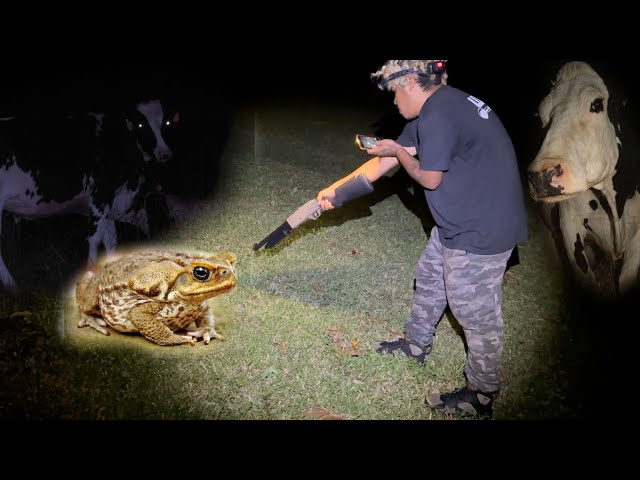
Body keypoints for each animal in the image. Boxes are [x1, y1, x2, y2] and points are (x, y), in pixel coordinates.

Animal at [527, 61, 640, 300]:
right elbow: (586, 278)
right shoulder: (569, 222)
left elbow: (626, 279)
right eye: (541, 115)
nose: (541, 176)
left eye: (596, 104)